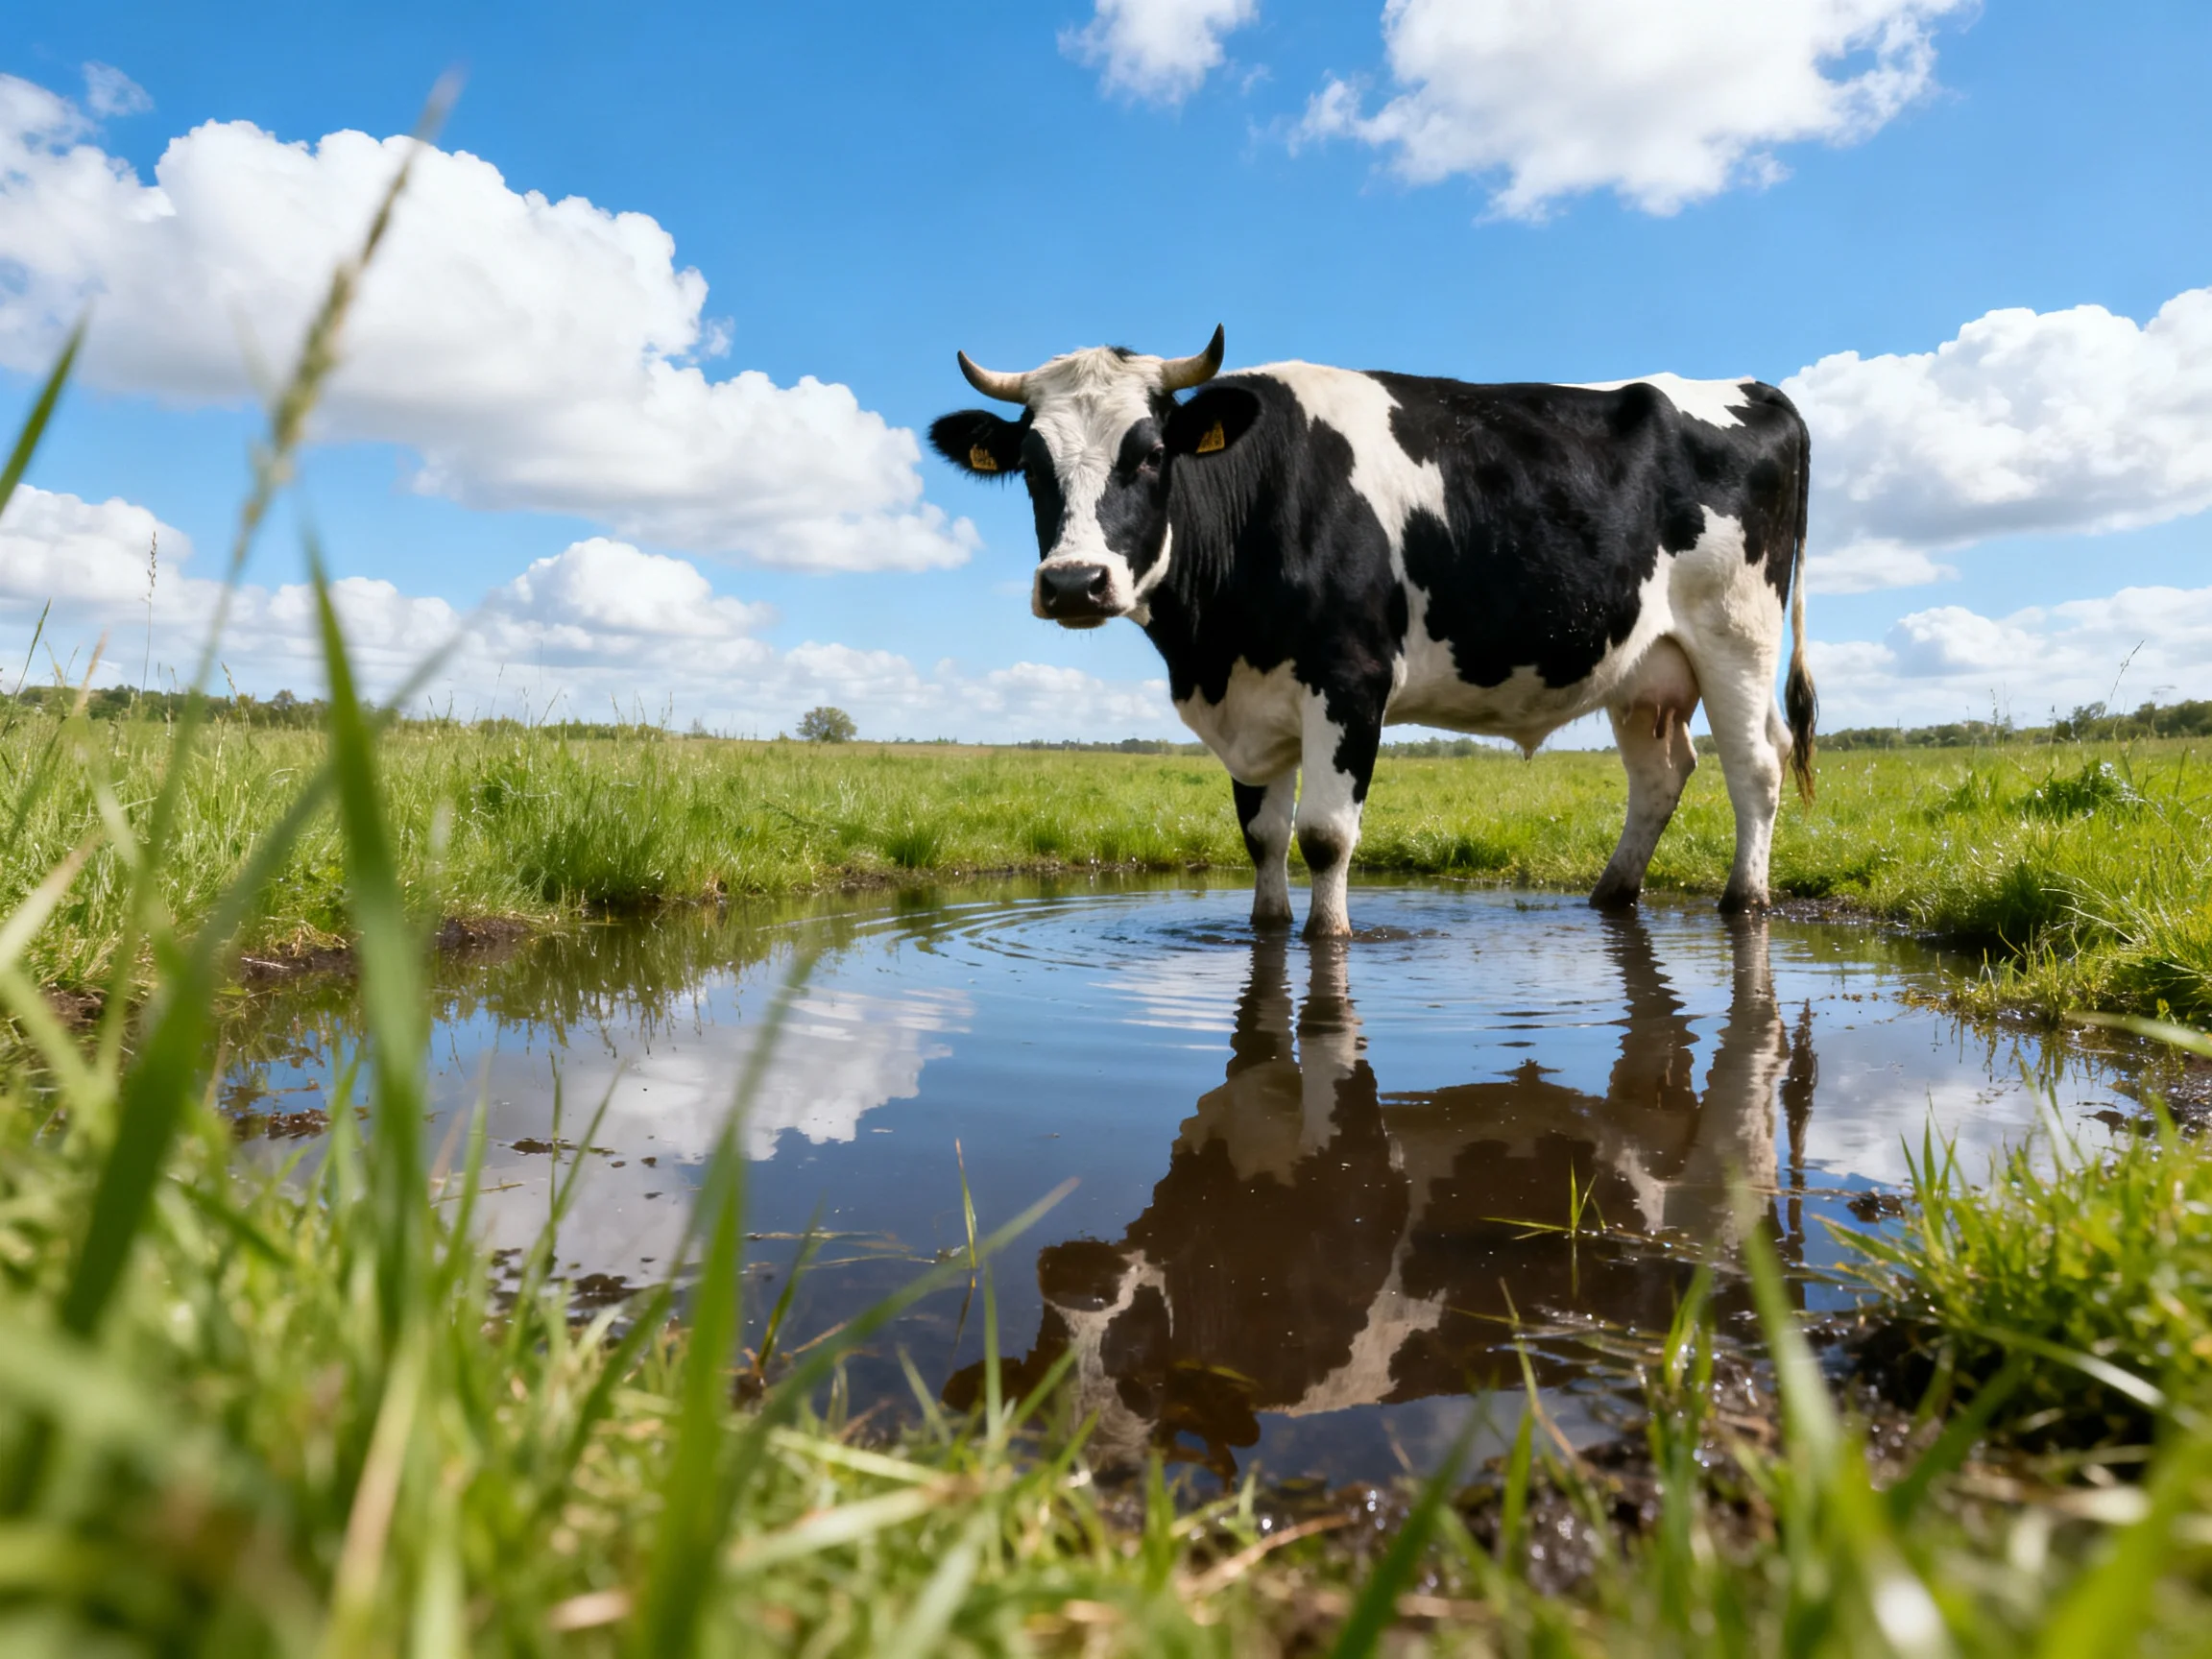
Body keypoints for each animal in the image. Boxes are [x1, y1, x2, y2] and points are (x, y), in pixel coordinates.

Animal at [930, 329, 1817, 937]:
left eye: (1149, 456)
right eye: (1031, 466)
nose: (1073, 583)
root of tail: (1753, 388)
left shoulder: (1349, 681)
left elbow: (1324, 839)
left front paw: (1329, 937)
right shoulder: (1254, 703)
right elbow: (1263, 840)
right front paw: (1268, 928)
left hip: (1735, 634)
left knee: (1756, 767)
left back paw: (1743, 902)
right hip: (1642, 668)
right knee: (1662, 774)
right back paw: (1611, 896)